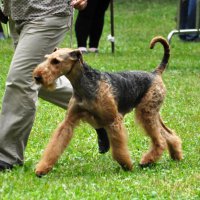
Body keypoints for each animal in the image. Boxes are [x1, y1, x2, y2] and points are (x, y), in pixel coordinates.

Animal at [33, 36, 183, 177]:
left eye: (56, 61)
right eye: (47, 58)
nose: (37, 76)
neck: (84, 84)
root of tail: (155, 73)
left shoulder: (113, 121)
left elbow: (119, 149)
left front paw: (127, 166)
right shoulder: (68, 122)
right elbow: (55, 145)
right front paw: (42, 169)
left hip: (146, 113)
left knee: (160, 139)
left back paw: (147, 161)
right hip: (152, 112)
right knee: (169, 134)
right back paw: (176, 156)